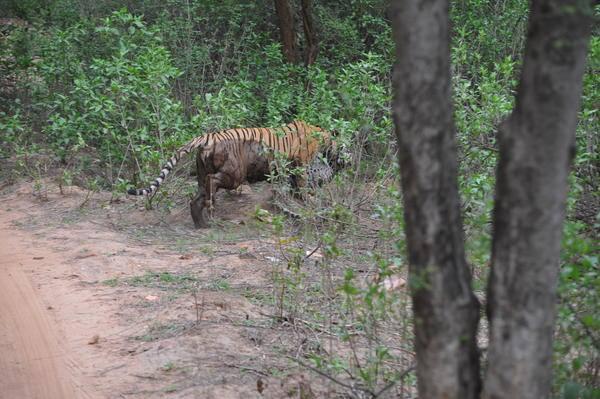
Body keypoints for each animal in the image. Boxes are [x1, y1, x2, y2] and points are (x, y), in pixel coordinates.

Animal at [127, 119, 338, 228]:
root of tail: (207, 136)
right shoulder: (300, 164)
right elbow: (301, 185)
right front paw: (309, 199)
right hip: (234, 175)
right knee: (212, 183)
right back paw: (212, 212)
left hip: (202, 174)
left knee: (196, 199)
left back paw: (202, 224)